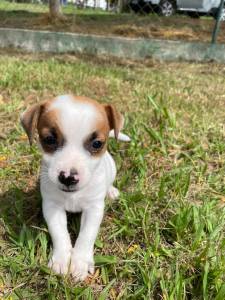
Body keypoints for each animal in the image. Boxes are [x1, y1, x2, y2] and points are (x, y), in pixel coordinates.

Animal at [21, 94, 130, 282]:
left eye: (97, 144)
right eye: (49, 139)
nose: (68, 177)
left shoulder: (94, 209)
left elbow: (87, 235)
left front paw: (80, 262)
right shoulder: (52, 207)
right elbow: (59, 233)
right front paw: (61, 259)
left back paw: (111, 191)